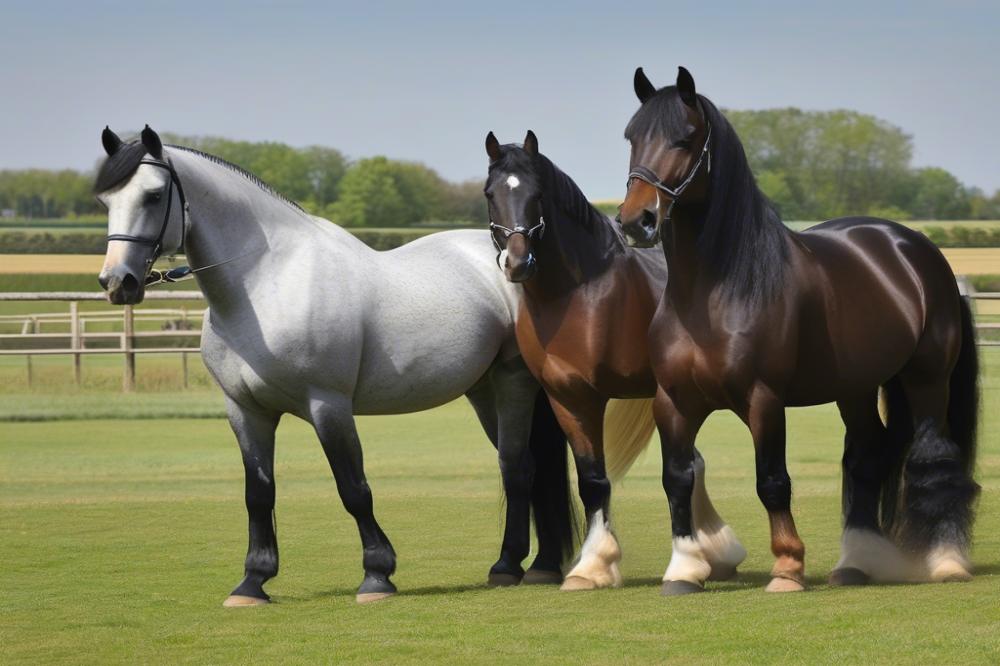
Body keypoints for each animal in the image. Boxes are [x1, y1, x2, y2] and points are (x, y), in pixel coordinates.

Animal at [480, 130, 748, 588]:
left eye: (537, 194)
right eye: (490, 194)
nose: (518, 262)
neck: (577, 295)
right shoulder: (568, 398)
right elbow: (592, 481)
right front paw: (593, 566)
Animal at [612, 67, 980, 592]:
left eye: (685, 138)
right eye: (632, 137)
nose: (635, 221)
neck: (712, 293)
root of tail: (915, 248)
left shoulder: (764, 400)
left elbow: (772, 480)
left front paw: (787, 567)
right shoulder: (674, 402)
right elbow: (677, 478)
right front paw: (683, 569)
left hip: (927, 380)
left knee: (933, 458)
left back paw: (946, 559)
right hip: (856, 388)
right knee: (867, 458)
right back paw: (855, 563)